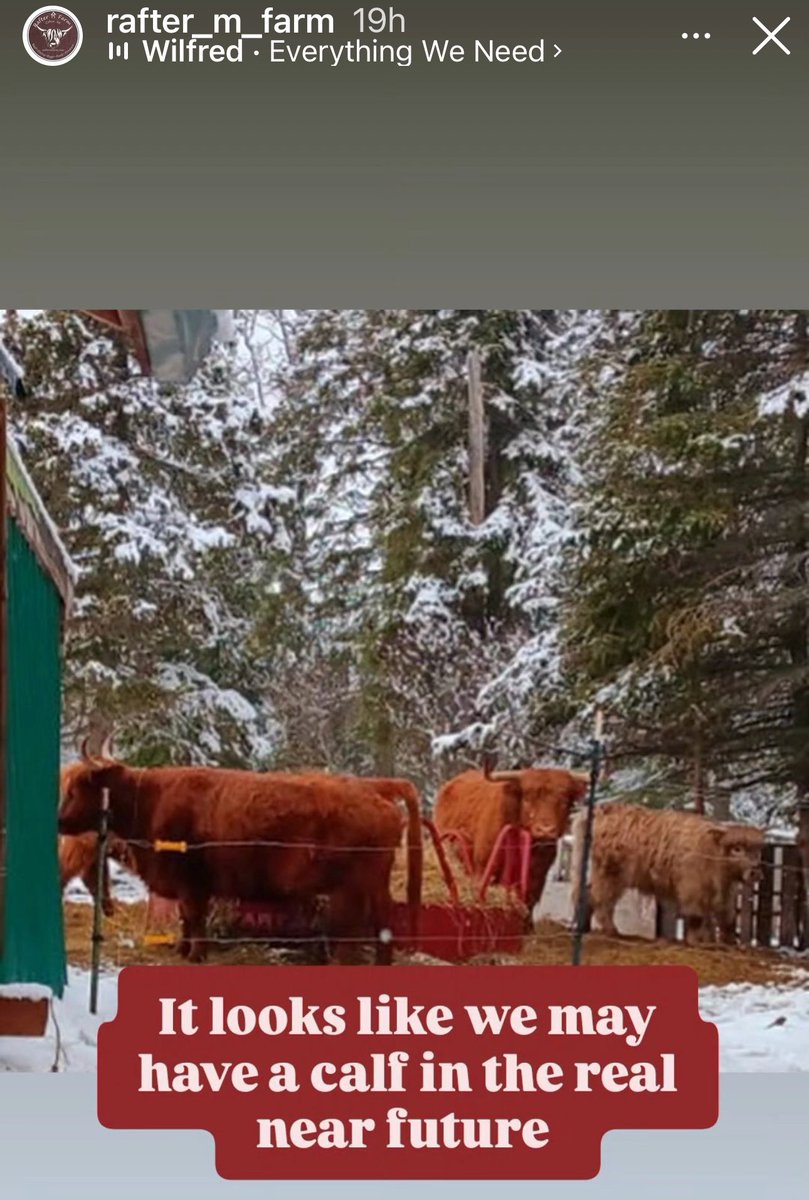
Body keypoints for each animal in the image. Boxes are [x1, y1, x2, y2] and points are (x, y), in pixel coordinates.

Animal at [58, 742, 423, 965]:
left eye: (74, 790)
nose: (58, 820)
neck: (151, 800)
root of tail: (378, 795)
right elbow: (185, 918)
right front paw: (182, 948)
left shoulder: (192, 883)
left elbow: (194, 917)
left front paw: (196, 954)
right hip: (371, 886)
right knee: (381, 922)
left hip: (353, 889)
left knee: (357, 929)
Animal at [432, 764, 590, 920]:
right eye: (527, 799)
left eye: (564, 801)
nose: (546, 830)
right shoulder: (483, 870)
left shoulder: (537, 879)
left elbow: (527, 907)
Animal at [570, 802, 764, 946]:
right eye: (737, 849)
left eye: (757, 850)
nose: (755, 872)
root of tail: (598, 810)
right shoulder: (692, 888)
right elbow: (696, 916)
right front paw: (694, 941)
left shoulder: (723, 892)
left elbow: (726, 917)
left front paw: (726, 941)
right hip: (610, 874)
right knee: (600, 899)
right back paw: (611, 930)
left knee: (587, 894)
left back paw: (584, 928)